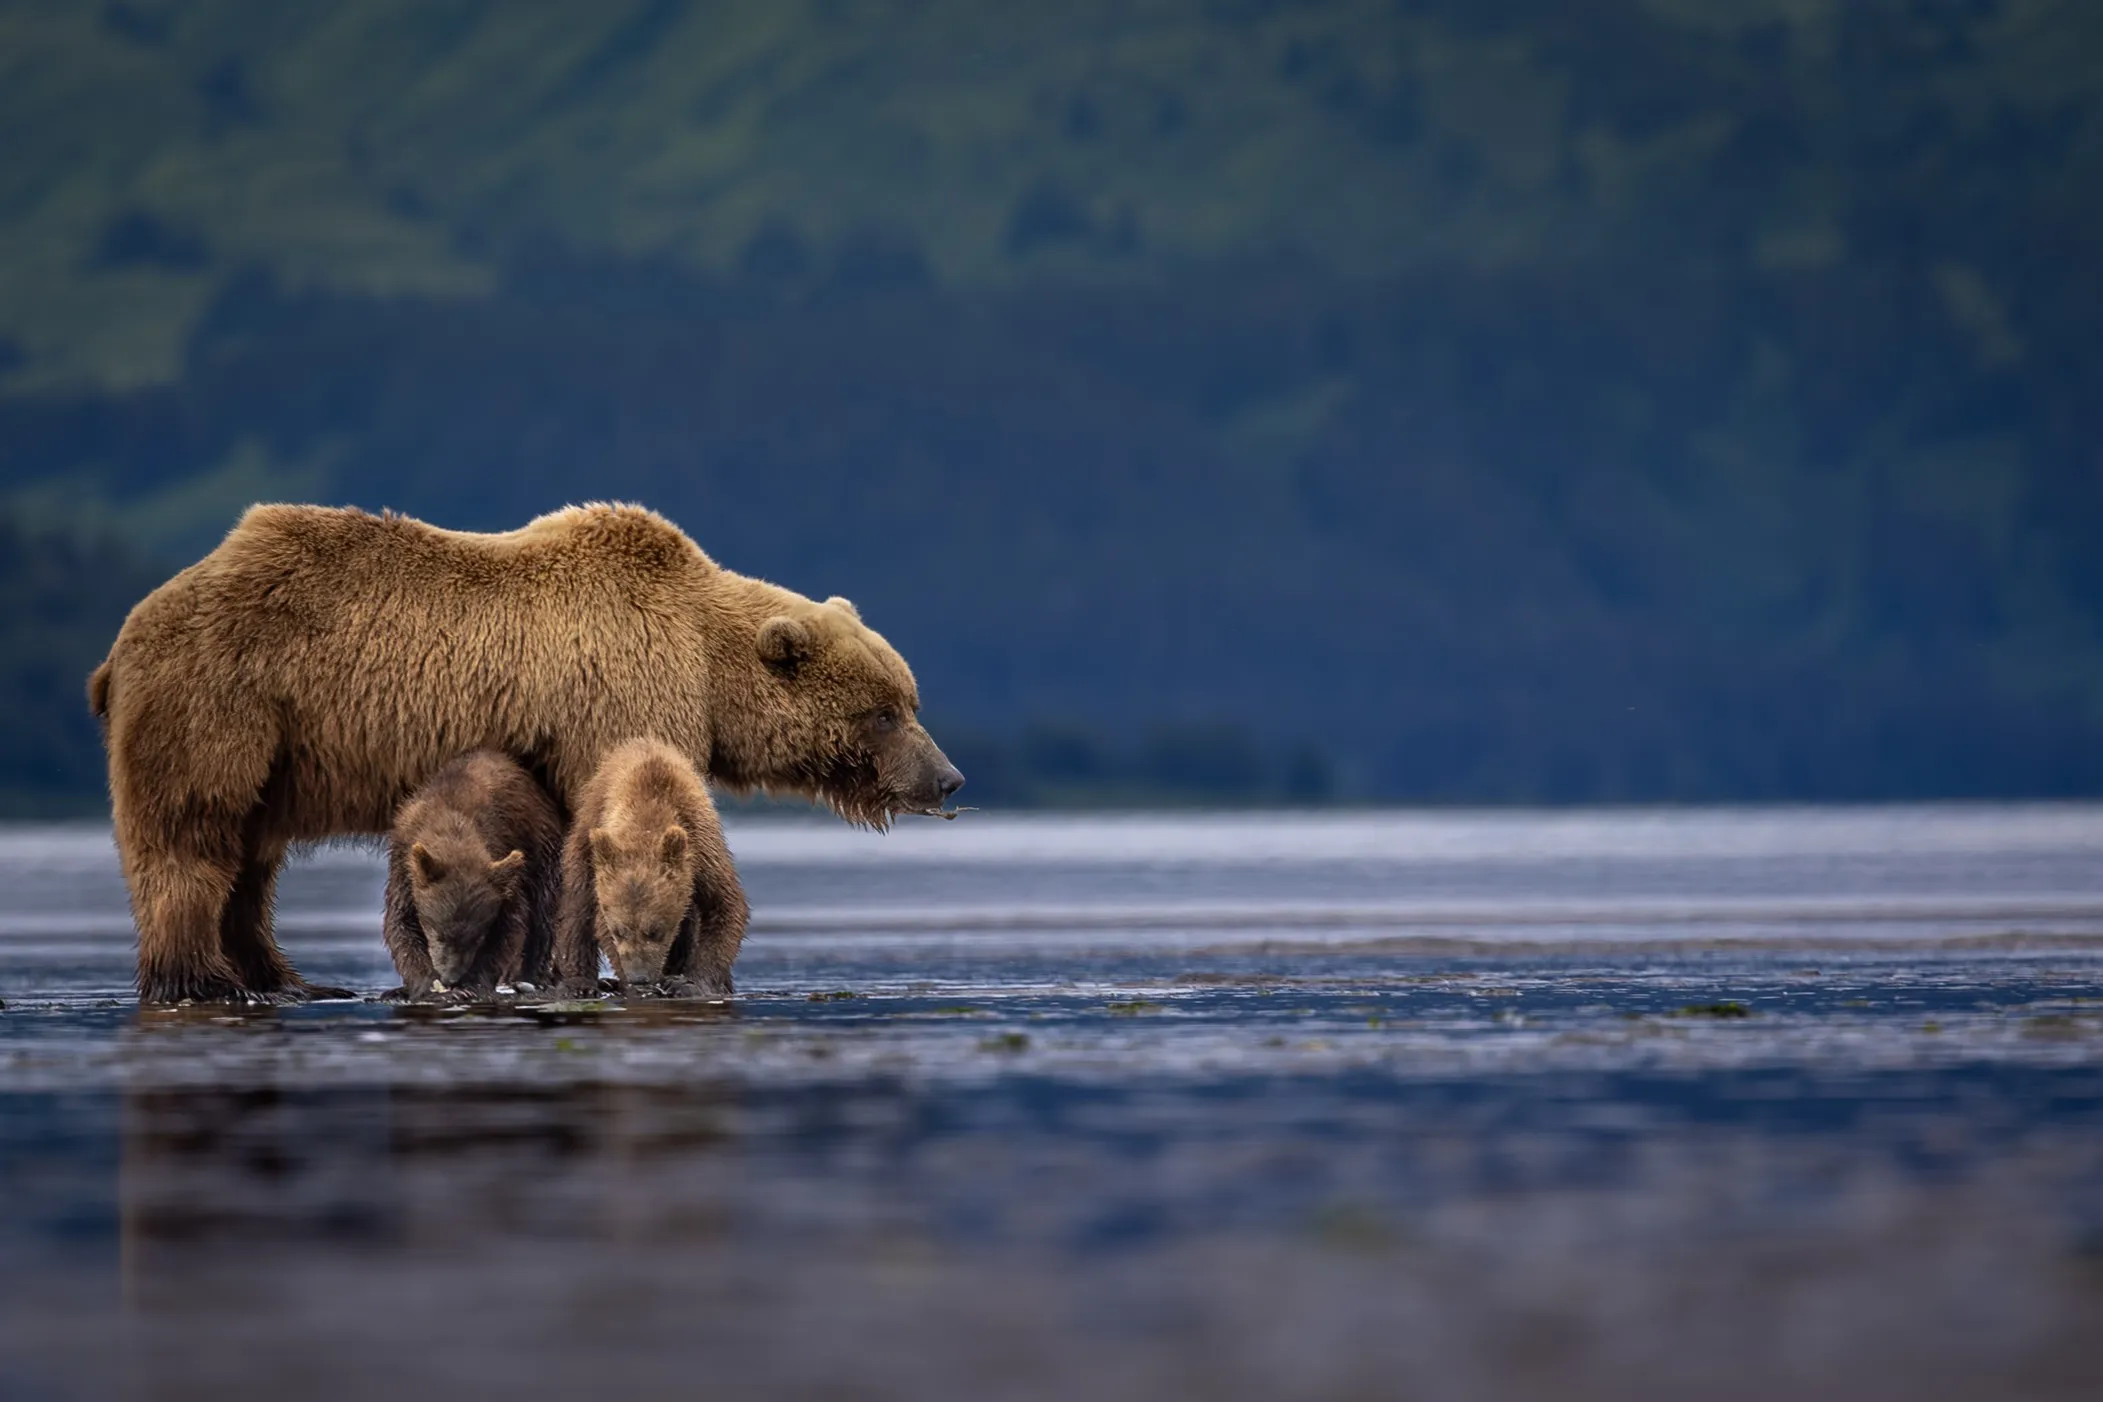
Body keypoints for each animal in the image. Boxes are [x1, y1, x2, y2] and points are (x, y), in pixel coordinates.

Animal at [383, 749, 564, 1002]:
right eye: (438, 934)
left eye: (477, 937)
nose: (451, 978)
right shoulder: (403, 864)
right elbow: (400, 923)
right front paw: (429, 986)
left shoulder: (503, 863)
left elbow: (510, 924)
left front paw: (472, 985)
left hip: (543, 845)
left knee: (544, 908)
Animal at [554, 737, 745, 998]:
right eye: (620, 931)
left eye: (655, 930)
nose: (639, 977)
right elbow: (595, 919)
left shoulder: (702, 847)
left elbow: (724, 906)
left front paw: (687, 983)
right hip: (584, 842)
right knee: (577, 906)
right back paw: (581, 983)